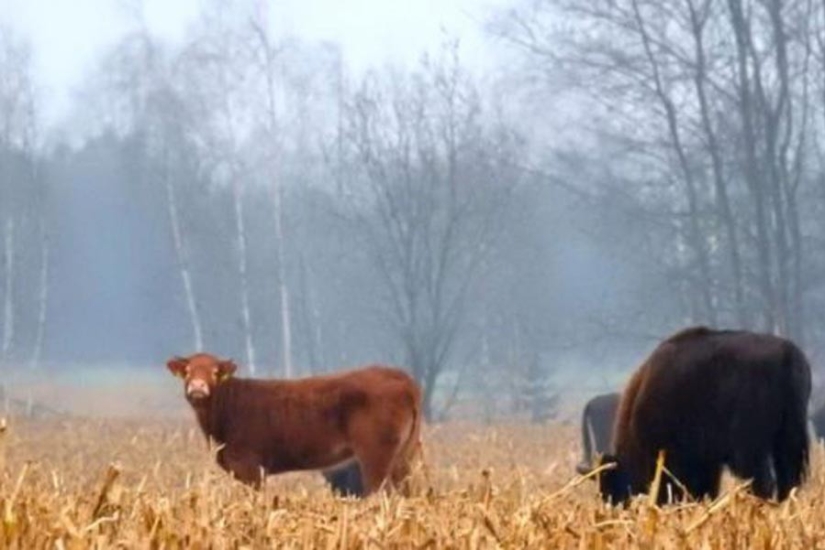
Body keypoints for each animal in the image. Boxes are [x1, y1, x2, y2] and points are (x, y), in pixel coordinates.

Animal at [167, 353, 422, 495]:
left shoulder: (251, 467)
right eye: (187, 371)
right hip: (404, 456)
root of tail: (402, 377)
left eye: (215, 371)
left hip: (376, 455)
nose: (197, 387)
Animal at [598, 326, 811, 506]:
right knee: (789, 479)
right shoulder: (708, 463)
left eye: (610, 485)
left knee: (762, 482)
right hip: (789, 437)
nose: (615, 505)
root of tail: (787, 354)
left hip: (750, 450)